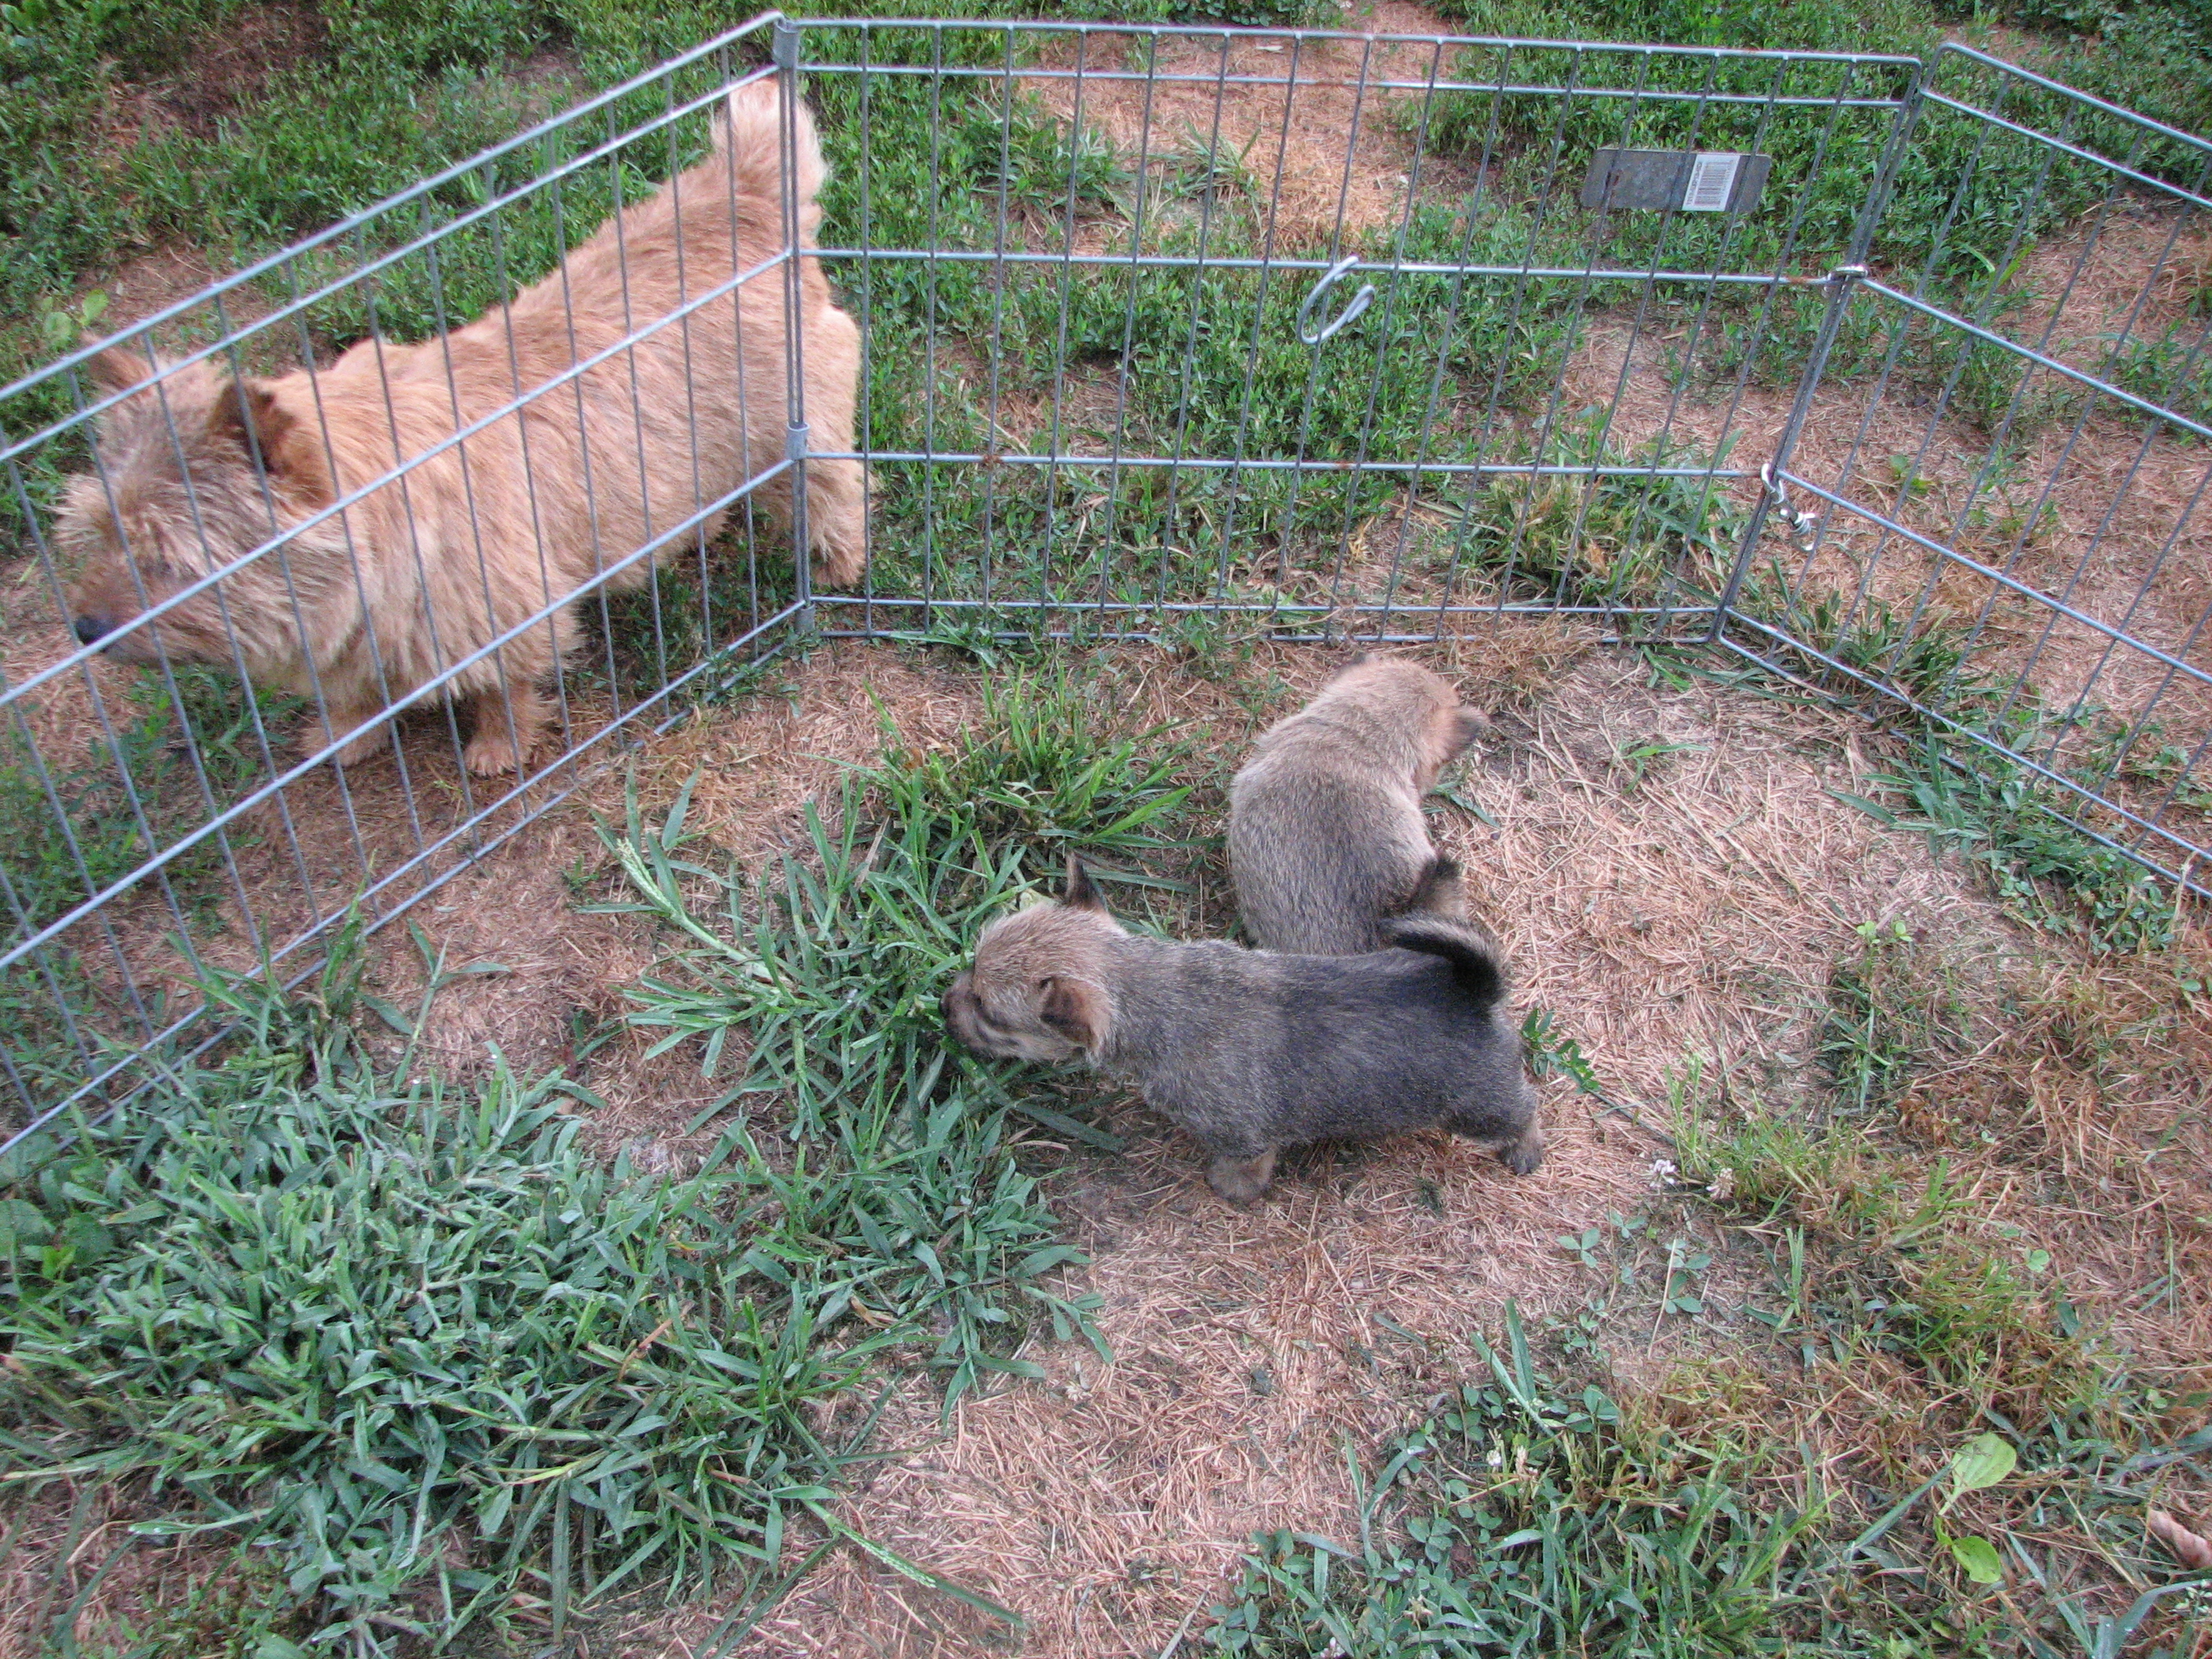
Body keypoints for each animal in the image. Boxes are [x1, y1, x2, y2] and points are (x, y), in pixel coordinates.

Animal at [58, 77, 865, 776]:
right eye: (100, 532)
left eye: (170, 561)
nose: (85, 628)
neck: (375, 494)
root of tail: (742, 193)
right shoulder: (349, 631)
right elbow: (351, 691)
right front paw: (343, 737)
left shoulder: (496, 608)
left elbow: (500, 687)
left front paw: (496, 747)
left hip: (802, 422)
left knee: (837, 491)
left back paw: (837, 568)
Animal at [942, 856, 1542, 1204]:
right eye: (972, 963)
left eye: (990, 1013)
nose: (945, 1003)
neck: (1154, 991)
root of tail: (1474, 991)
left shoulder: (1243, 1137)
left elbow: (1244, 1166)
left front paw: (1232, 1188)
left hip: (1479, 1109)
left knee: (1523, 1110)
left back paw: (1525, 1149)